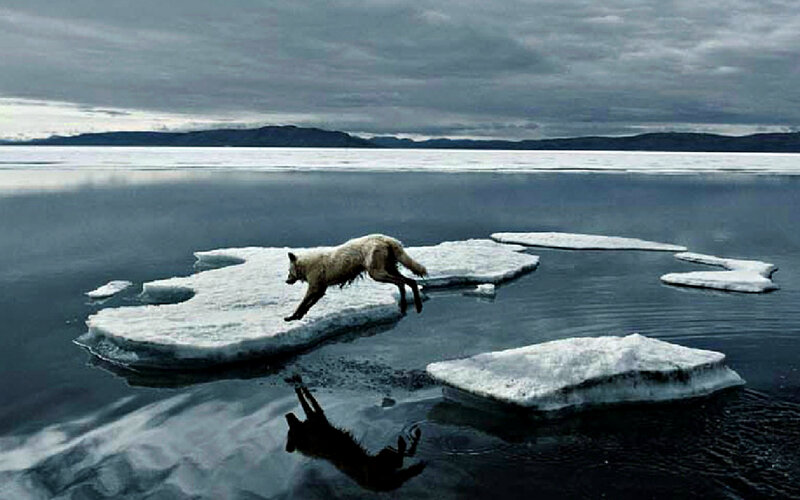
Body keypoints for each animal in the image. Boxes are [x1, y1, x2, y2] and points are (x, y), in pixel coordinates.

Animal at [284, 234, 427, 321]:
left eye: (289, 271)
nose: (287, 281)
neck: (306, 265)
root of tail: (386, 239)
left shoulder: (314, 287)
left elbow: (302, 303)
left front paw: (291, 317)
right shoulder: (321, 289)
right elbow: (308, 305)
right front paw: (298, 316)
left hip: (376, 273)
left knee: (401, 282)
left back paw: (408, 306)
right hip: (389, 268)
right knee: (411, 281)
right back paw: (414, 306)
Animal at [285, 383, 426, 492]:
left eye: (289, 432)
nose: (288, 415)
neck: (306, 438)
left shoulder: (318, 421)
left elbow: (308, 403)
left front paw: (300, 388)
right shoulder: (318, 420)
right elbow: (310, 404)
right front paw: (301, 389)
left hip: (384, 458)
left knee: (403, 457)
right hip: (382, 461)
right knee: (400, 460)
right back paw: (405, 442)